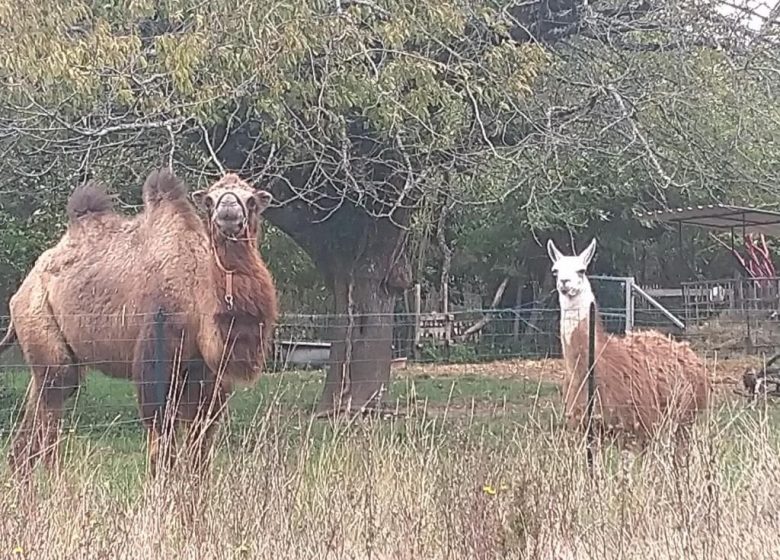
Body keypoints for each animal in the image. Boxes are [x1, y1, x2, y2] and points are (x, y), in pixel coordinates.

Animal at [0, 168, 278, 480]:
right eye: (209, 200)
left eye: (251, 200)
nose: (228, 210)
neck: (198, 297)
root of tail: (24, 287)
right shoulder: (155, 355)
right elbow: (161, 439)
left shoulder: (210, 376)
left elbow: (201, 444)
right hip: (39, 323)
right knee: (55, 395)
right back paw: (54, 481)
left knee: (35, 412)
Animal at [544, 236, 708, 450]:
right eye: (555, 270)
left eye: (581, 270)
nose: (564, 282)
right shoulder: (584, 428)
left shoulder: (637, 426)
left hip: (684, 418)